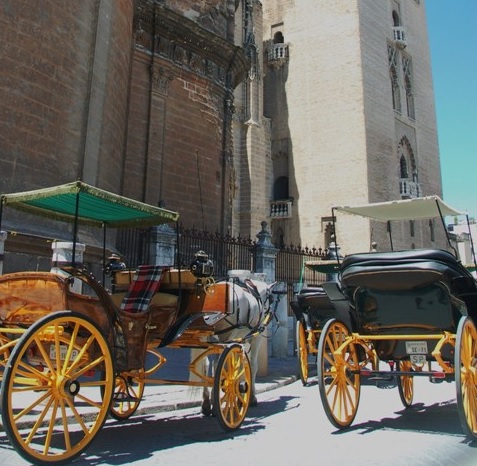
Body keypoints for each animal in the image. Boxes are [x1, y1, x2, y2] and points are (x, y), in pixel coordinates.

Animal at [189, 274, 272, 416]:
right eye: (270, 297)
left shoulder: (241, 340)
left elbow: (240, 364)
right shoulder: (254, 339)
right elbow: (250, 365)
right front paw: (249, 397)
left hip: (207, 336)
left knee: (205, 365)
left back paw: (206, 403)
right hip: (228, 335)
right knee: (216, 364)